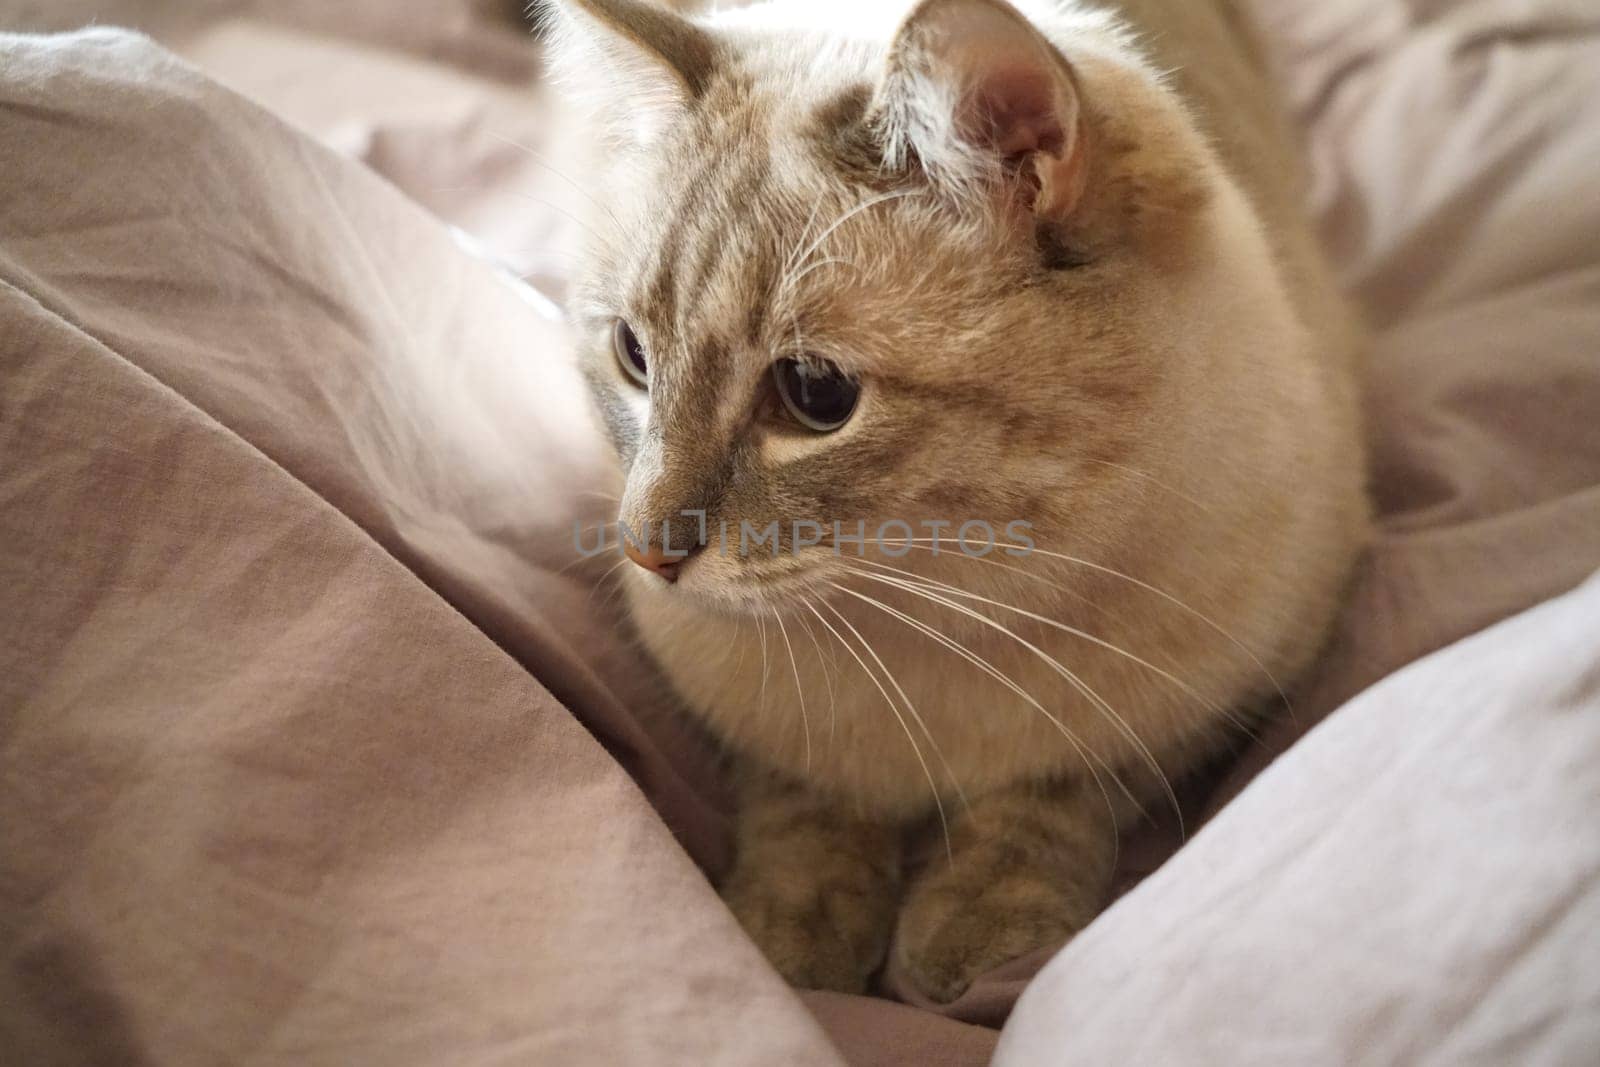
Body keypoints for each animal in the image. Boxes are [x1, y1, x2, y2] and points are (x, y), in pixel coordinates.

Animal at [544, 0, 1369, 1004]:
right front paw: (793, 939)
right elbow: (804, 804)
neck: (939, 617)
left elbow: (1052, 799)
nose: (645, 552)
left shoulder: (1220, 701)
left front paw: (972, 937)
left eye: (815, 393)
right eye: (633, 356)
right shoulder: (753, 730)